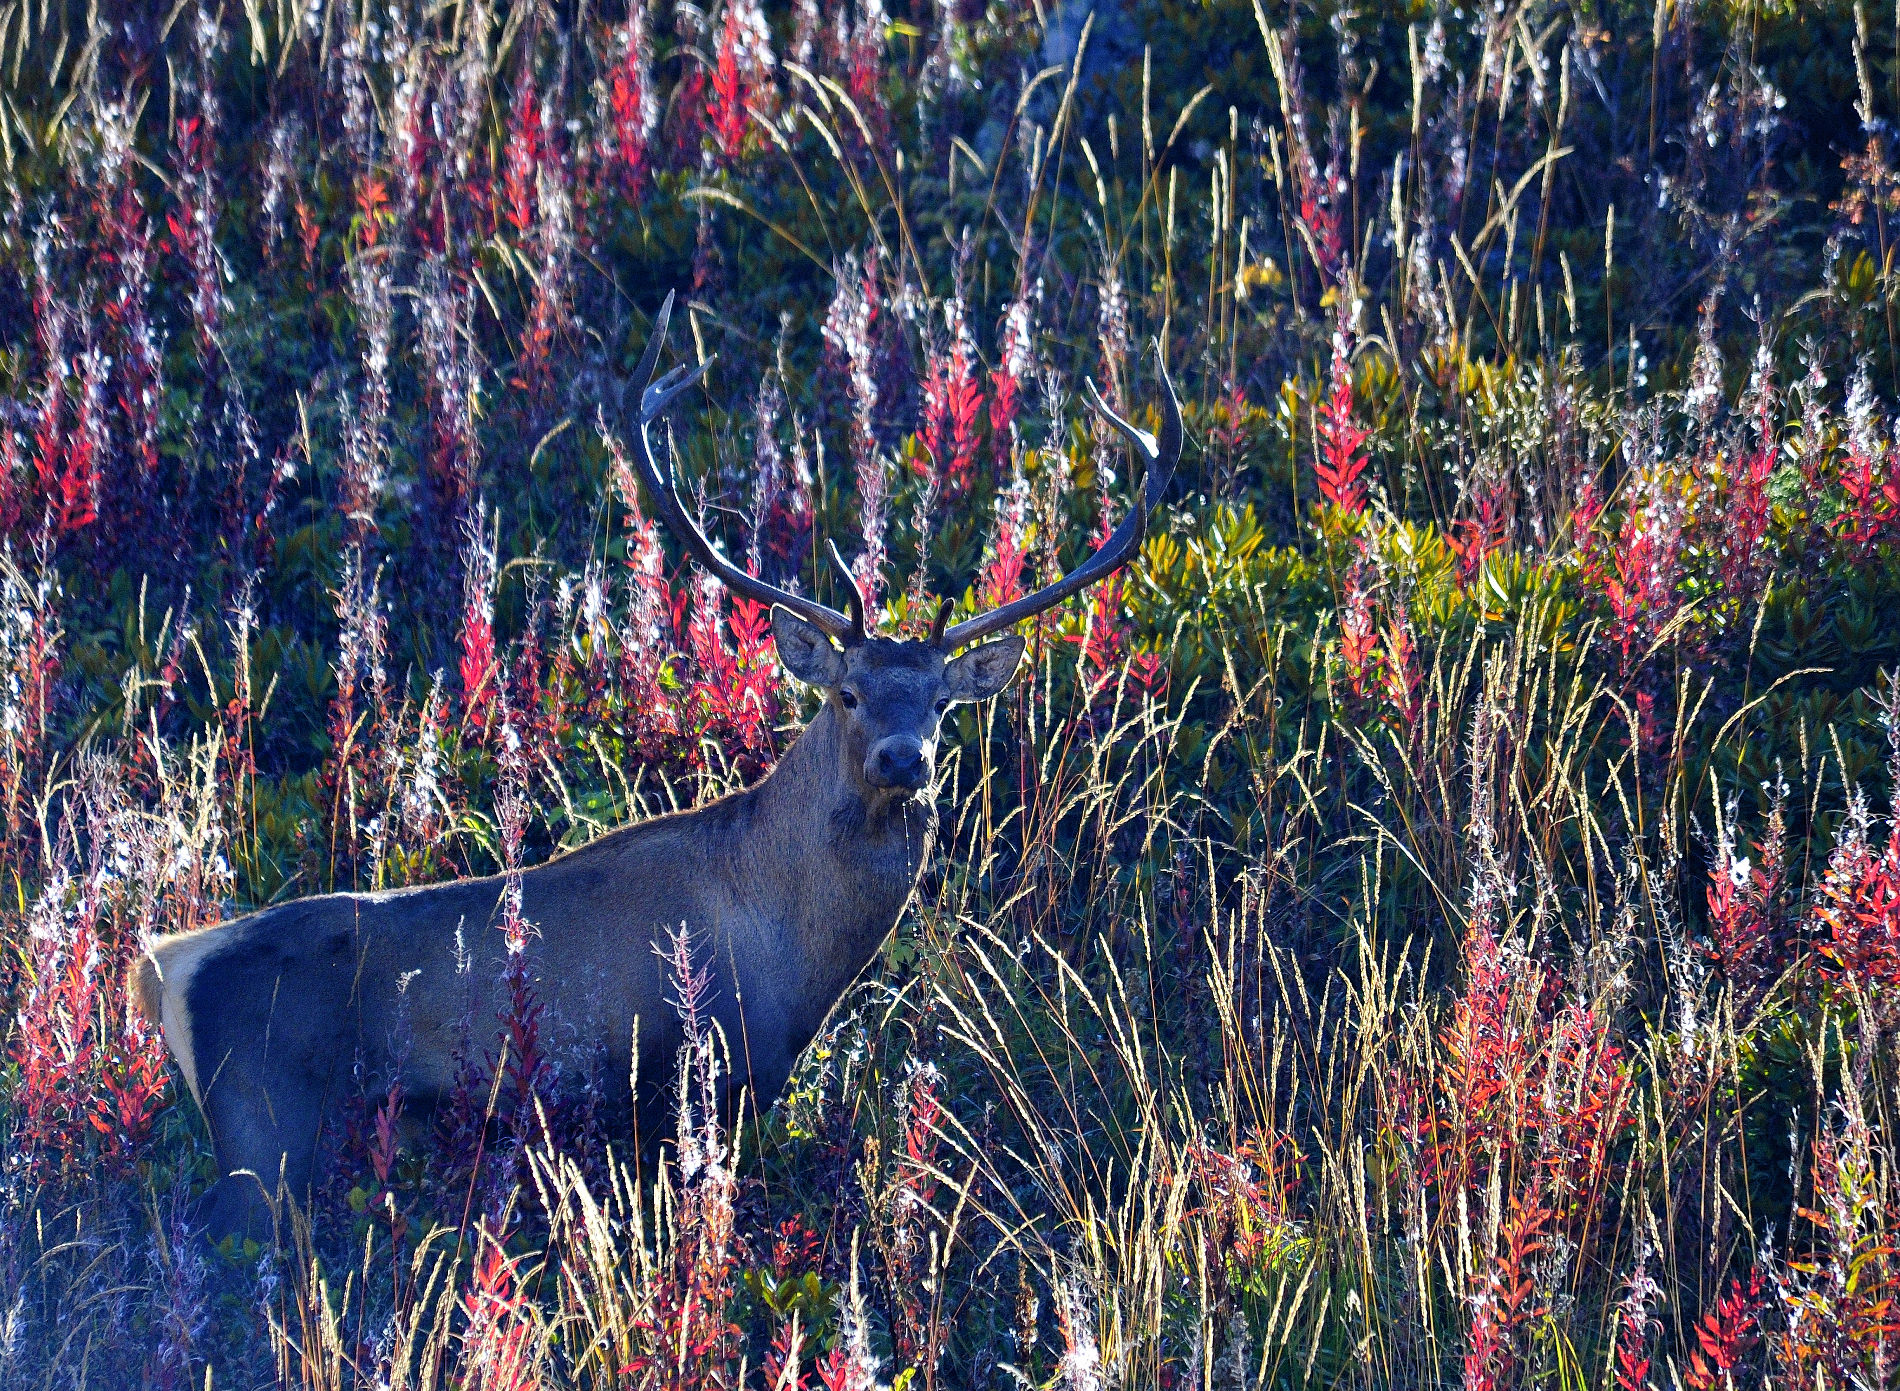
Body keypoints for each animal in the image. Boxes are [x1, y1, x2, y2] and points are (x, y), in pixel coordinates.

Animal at [133, 296, 1178, 1238]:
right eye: (848, 693)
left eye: (939, 704)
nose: (903, 758)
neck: (796, 947)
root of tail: (161, 965)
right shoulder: (705, 1071)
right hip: (267, 1132)